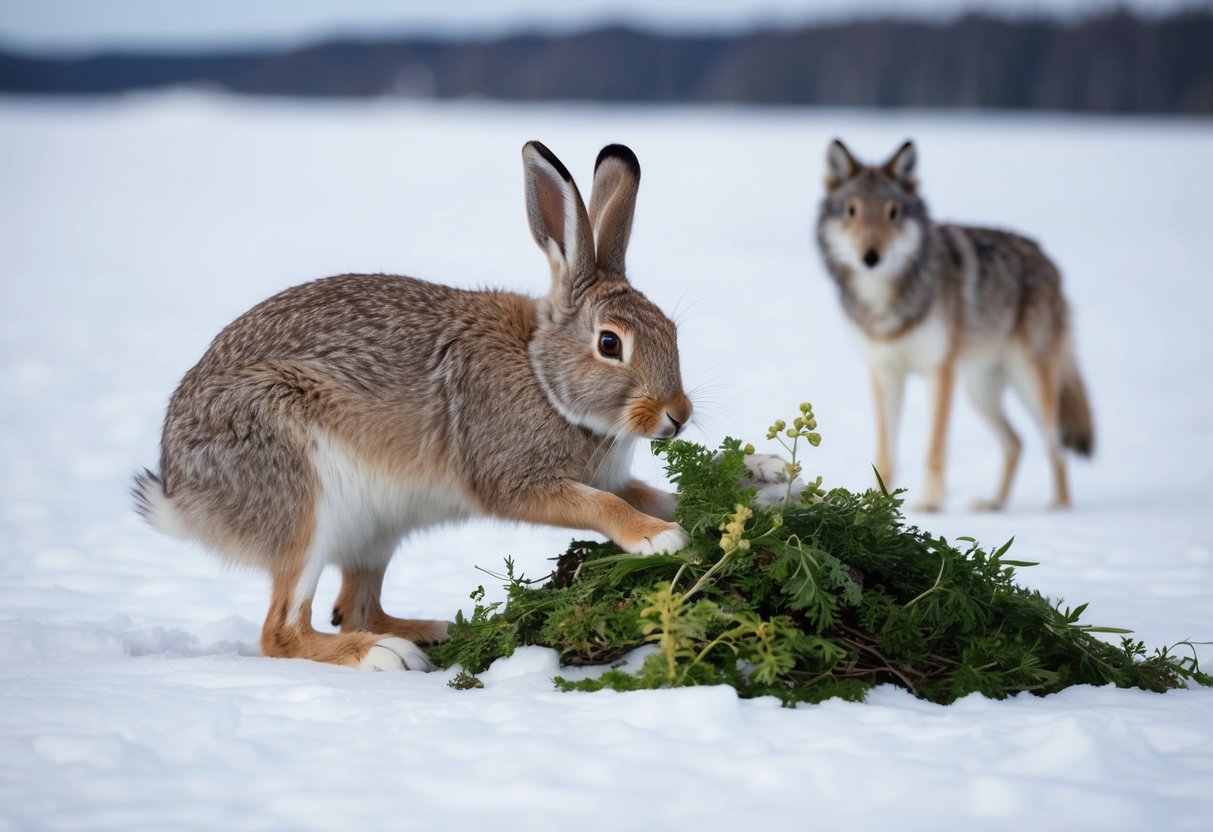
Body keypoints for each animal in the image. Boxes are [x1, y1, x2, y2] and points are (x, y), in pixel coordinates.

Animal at [133, 141, 693, 672]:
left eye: (671, 330)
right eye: (609, 344)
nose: (678, 415)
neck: (542, 375)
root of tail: (180, 492)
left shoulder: (607, 476)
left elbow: (645, 494)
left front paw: (701, 497)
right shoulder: (514, 479)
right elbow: (602, 506)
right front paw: (658, 539)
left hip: (376, 529)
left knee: (355, 608)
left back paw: (430, 631)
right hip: (299, 496)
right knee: (284, 631)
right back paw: (385, 654)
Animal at [815, 139, 1093, 510]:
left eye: (893, 212)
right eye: (851, 210)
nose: (871, 257)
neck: (886, 302)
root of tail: (1049, 261)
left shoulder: (939, 370)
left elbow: (934, 449)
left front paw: (930, 507)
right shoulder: (885, 373)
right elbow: (885, 456)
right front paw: (877, 506)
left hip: (1029, 381)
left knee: (1055, 446)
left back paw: (1059, 509)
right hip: (978, 389)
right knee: (1016, 442)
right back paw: (994, 506)